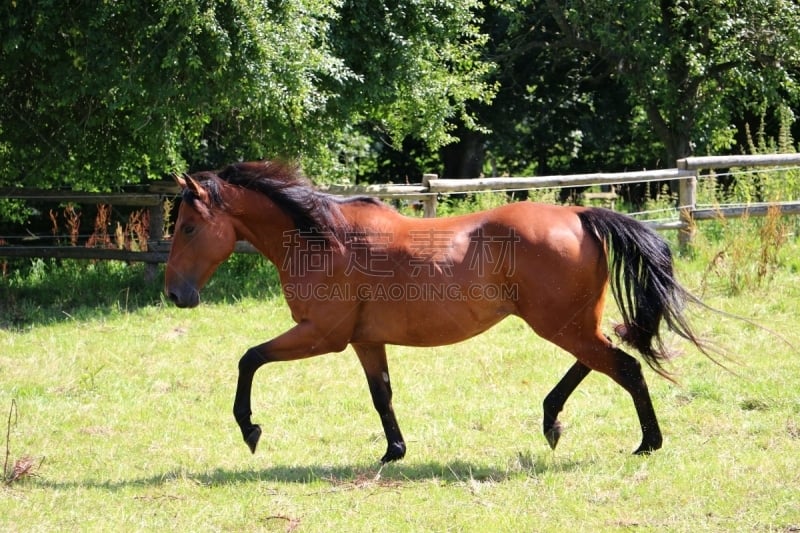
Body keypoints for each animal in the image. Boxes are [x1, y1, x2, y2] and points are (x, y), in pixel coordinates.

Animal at [164, 159, 708, 462]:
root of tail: (579, 214)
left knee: (624, 366)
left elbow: (249, 358)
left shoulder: (321, 334)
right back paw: (552, 421)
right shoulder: (364, 341)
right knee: (602, 359)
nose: (175, 295)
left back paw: (646, 443)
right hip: (571, 322)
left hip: (562, 324)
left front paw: (250, 429)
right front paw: (394, 452)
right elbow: (381, 395)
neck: (321, 239)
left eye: (188, 227)